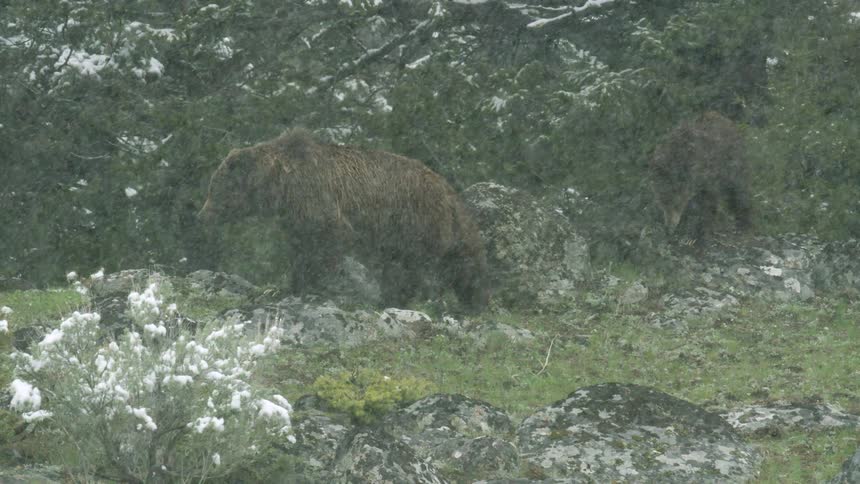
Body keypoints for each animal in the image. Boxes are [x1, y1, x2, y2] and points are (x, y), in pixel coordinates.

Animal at [198, 129, 489, 312]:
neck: (279, 185)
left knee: (419, 268)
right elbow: (299, 249)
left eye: (215, 187)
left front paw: (316, 286)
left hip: (416, 222)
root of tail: (447, 188)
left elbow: (326, 243)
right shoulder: (296, 219)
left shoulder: (319, 201)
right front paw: (291, 286)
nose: (202, 215)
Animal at [649, 111, 752, 242]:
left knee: (739, 192)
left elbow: (709, 205)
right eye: (662, 203)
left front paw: (701, 234)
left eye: (677, 204)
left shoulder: (707, 179)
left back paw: (744, 223)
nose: (668, 230)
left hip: (733, 166)